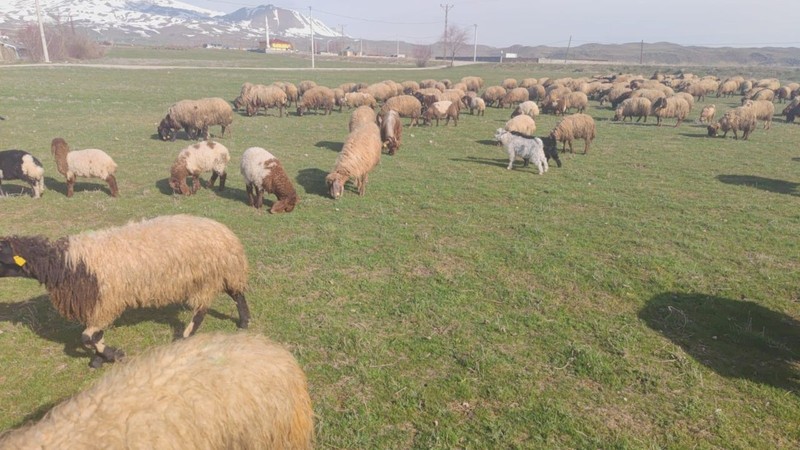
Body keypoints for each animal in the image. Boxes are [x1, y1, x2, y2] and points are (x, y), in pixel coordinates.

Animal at [0, 215, 250, 370]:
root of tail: (225, 232)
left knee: (202, 308)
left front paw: (113, 355)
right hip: (220, 273)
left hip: (210, 275)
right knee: (235, 294)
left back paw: (186, 336)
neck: (65, 263)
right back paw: (244, 322)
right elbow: (94, 337)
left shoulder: (105, 302)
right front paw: (99, 360)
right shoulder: (98, 304)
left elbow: (87, 338)